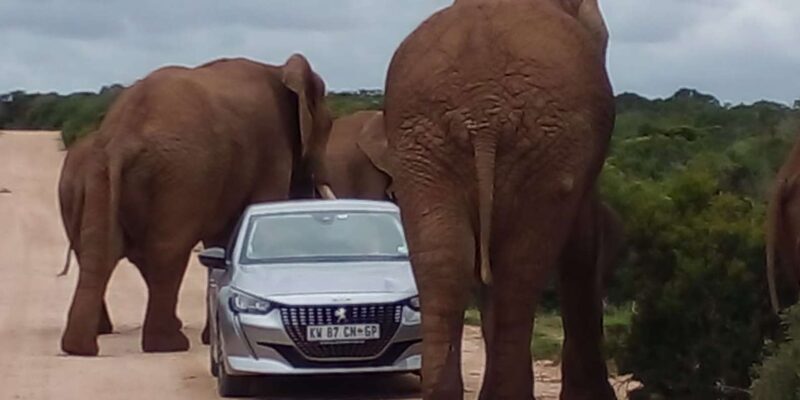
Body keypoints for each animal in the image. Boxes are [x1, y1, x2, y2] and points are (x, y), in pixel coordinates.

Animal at [57, 54, 334, 356]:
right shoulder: (273, 147)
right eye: (328, 127)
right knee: (167, 250)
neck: (278, 69)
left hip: (102, 171)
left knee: (100, 250)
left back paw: (79, 347)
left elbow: (221, 244)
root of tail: (122, 137)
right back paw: (168, 344)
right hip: (183, 174)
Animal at [381, 0, 615, 398]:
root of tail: (482, 116)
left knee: (447, 262)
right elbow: (582, 245)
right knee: (519, 270)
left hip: (422, 148)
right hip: (545, 146)